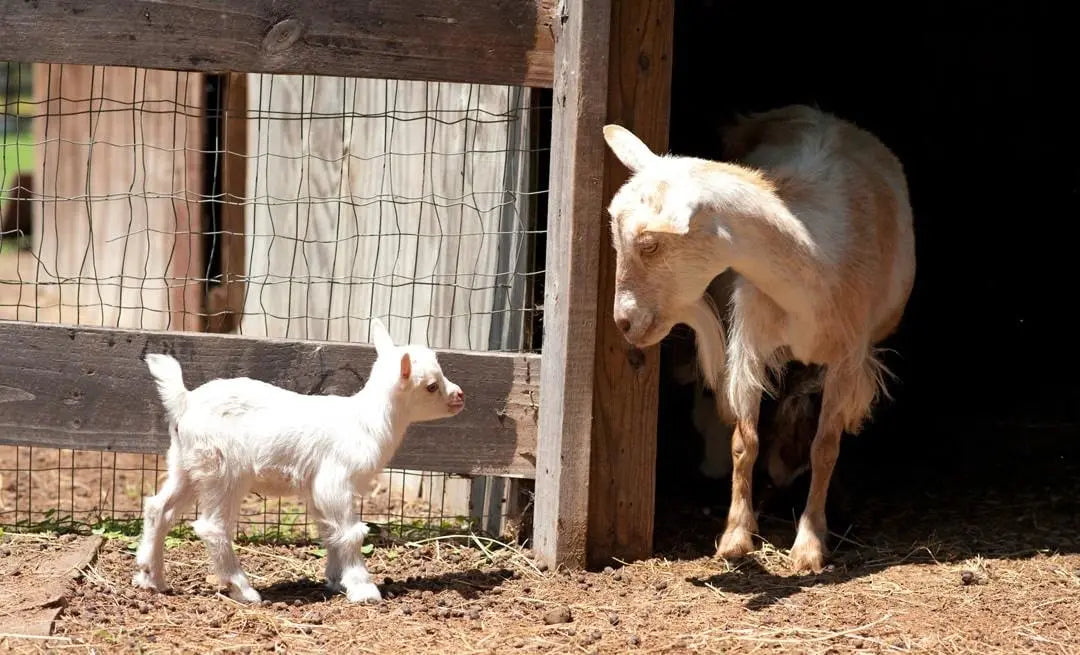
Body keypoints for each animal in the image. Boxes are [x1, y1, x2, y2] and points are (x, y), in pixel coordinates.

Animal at [131, 319, 464, 605]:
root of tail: (184, 401)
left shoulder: (316, 487)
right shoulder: (335, 480)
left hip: (185, 463)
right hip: (223, 469)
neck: (368, 422)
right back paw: (243, 589)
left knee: (159, 508)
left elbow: (330, 531)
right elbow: (350, 532)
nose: (460, 396)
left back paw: (152, 578)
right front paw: (363, 588)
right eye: (431, 385)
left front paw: (335, 580)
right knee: (213, 526)